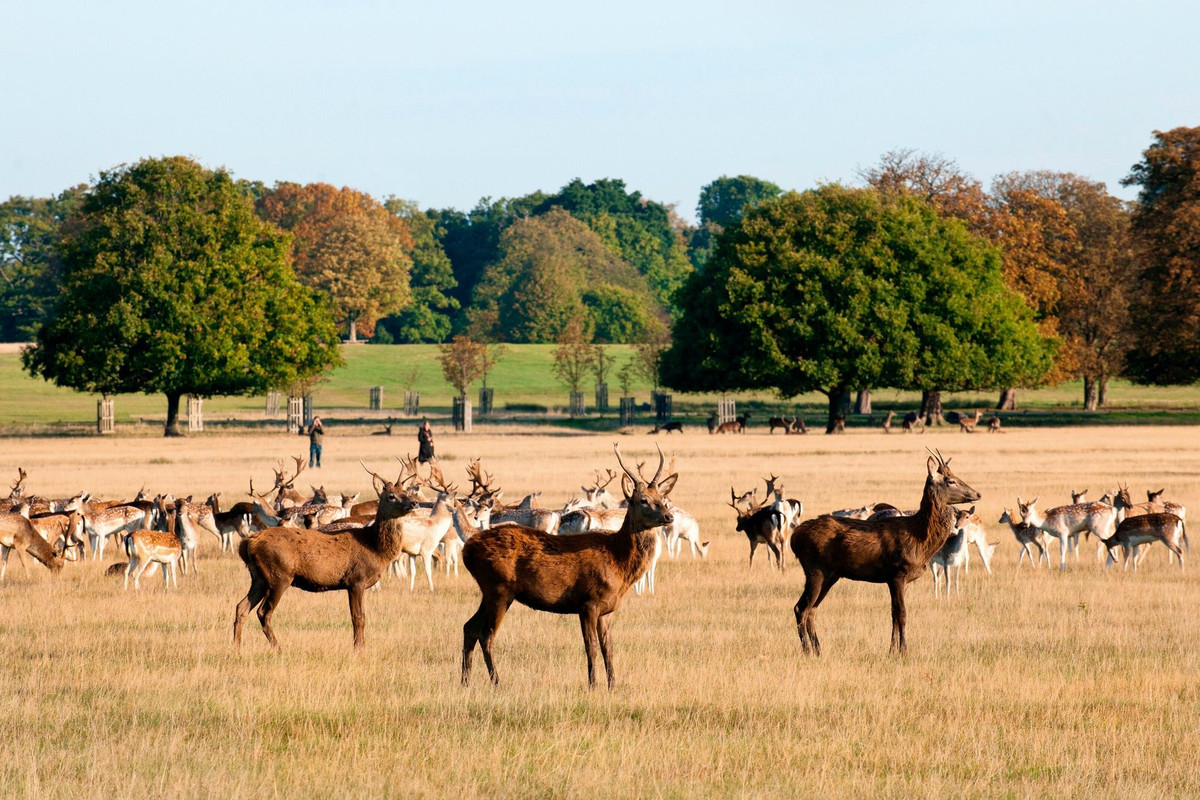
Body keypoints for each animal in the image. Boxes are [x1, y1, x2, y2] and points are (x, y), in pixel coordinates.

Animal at [234, 462, 422, 652]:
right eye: (391, 496)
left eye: (405, 493)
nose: (414, 503)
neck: (374, 548)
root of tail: (249, 542)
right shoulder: (356, 580)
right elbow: (358, 618)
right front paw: (358, 650)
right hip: (279, 575)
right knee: (263, 612)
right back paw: (278, 649)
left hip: (259, 577)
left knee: (241, 607)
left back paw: (236, 647)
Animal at [458, 441, 681, 690]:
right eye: (642, 500)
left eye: (662, 497)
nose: (668, 516)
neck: (619, 563)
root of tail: (467, 550)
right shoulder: (587, 601)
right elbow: (591, 647)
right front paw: (593, 686)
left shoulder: (608, 609)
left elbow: (609, 649)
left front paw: (613, 686)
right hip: (499, 588)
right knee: (486, 635)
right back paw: (497, 682)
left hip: (489, 591)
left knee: (469, 628)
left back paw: (465, 682)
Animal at [787, 448, 984, 662]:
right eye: (950, 480)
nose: (977, 493)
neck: (919, 539)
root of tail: (794, 538)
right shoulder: (897, 572)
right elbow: (902, 614)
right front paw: (904, 651)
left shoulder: (901, 579)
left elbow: (894, 615)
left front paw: (891, 651)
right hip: (815, 568)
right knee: (801, 607)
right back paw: (807, 651)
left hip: (831, 575)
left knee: (812, 609)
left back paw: (818, 650)